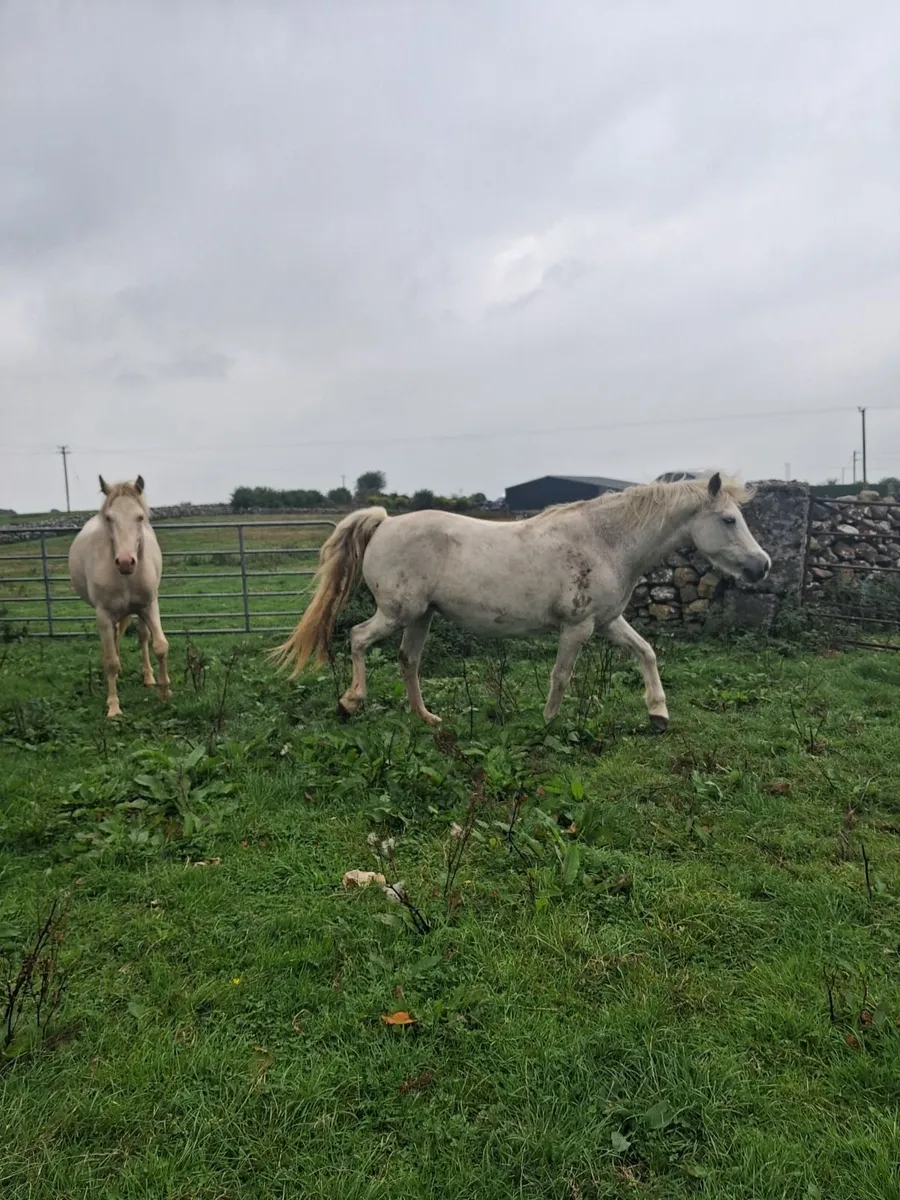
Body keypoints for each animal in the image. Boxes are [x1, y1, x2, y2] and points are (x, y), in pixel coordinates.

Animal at [68, 475, 170, 718]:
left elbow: (160, 646)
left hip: (139, 611)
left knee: (142, 637)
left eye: (140, 517)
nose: (125, 562)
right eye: (109, 518)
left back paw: (149, 677)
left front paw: (165, 693)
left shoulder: (149, 605)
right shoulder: (103, 615)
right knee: (114, 642)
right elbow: (111, 661)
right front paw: (113, 707)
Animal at [272, 473, 770, 728]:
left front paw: (658, 714)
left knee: (407, 660)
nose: (761, 566)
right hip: (399, 612)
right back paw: (350, 703)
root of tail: (385, 521)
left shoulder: (608, 621)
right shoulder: (578, 627)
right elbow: (561, 676)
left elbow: (646, 652)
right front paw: (548, 724)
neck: (604, 541)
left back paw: (427, 717)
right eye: (729, 520)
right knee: (358, 639)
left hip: (421, 617)